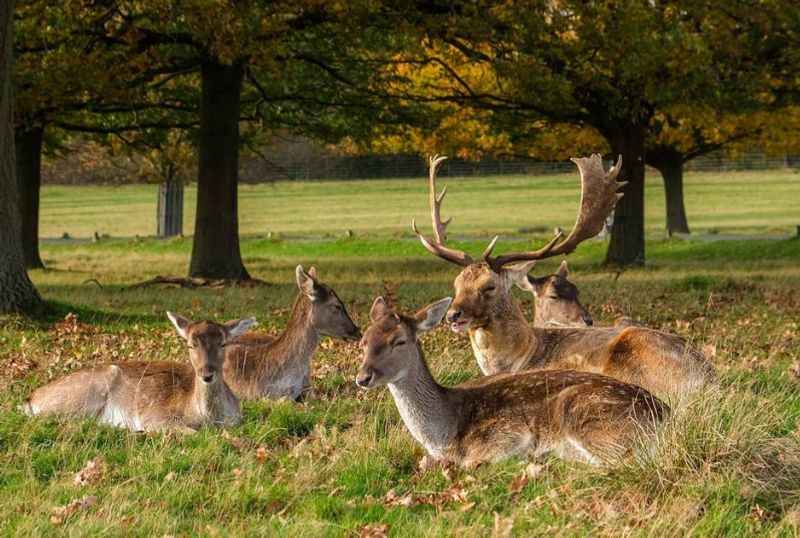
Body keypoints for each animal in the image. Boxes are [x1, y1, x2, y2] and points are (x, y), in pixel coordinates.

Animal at [21, 310, 255, 432]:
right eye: (190, 344)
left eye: (223, 343)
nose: (207, 374)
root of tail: (30, 399)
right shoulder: (156, 415)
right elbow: (191, 432)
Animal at [356, 296, 668, 466]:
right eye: (364, 340)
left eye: (399, 341)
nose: (362, 377)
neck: (444, 434)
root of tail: (665, 414)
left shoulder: (507, 434)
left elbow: (474, 461)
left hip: (584, 414)